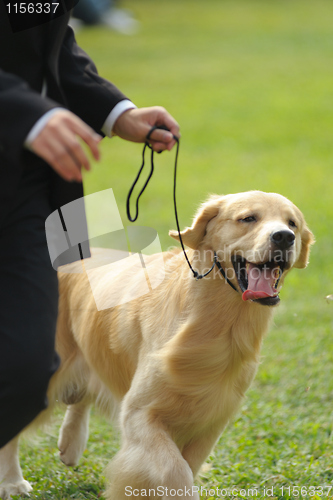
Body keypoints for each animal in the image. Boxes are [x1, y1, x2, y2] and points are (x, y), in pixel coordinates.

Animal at [0, 189, 312, 498]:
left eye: (292, 223)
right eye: (248, 218)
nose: (284, 237)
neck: (218, 321)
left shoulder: (212, 420)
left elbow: (189, 465)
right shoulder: (139, 413)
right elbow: (175, 471)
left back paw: (71, 444)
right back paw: (13, 482)